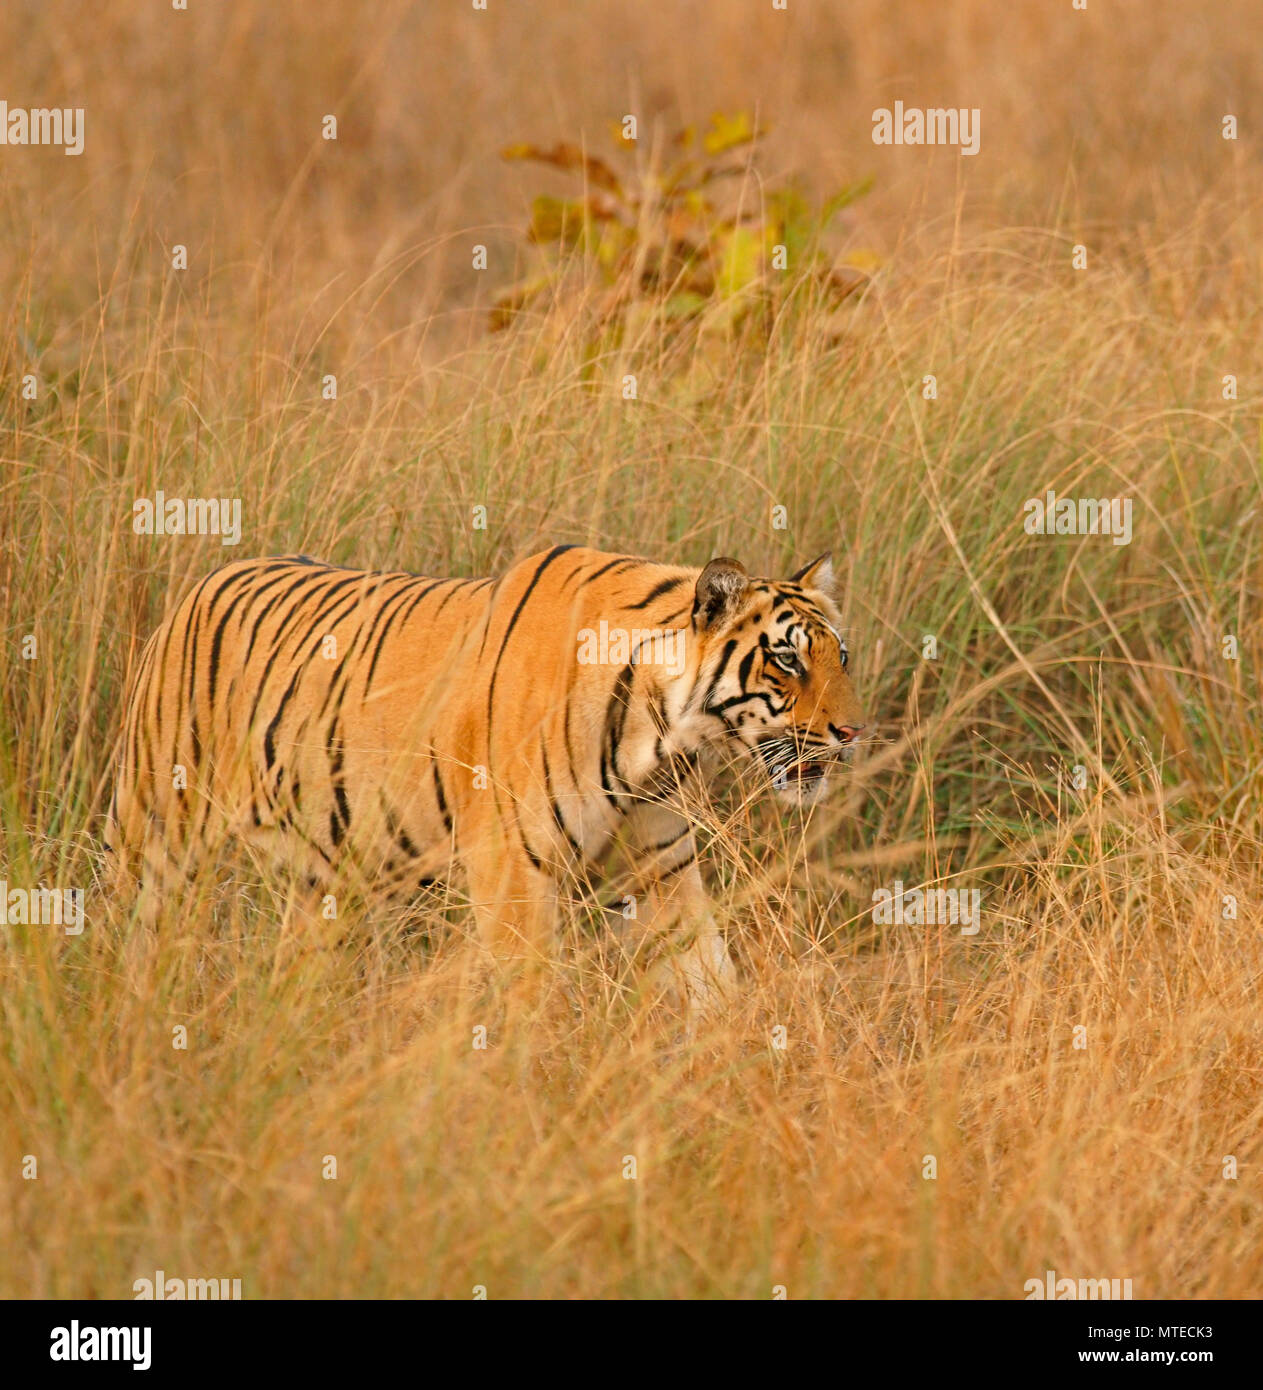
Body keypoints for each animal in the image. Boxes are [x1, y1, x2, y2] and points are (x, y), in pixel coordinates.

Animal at [106, 545, 865, 1012]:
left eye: (842, 656)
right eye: (787, 661)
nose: (853, 733)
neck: (662, 735)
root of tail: (200, 583)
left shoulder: (661, 869)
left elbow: (707, 977)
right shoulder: (513, 870)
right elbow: (531, 1002)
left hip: (322, 882)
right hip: (156, 840)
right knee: (133, 935)